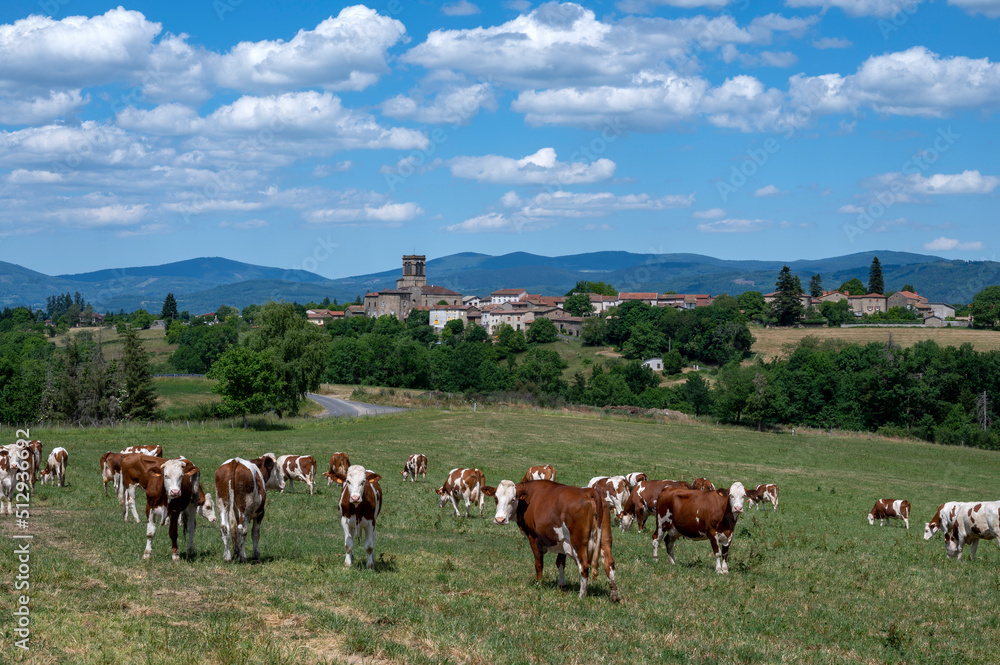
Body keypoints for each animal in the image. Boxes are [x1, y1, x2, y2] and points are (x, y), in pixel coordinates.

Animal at [488, 478, 620, 600]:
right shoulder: (563, 540)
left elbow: (539, 563)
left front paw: (539, 584)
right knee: (609, 564)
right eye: (496, 498)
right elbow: (560, 562)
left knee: (584, 567)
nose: (499, 520)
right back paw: (614, 596)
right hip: (605, 540)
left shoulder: (533, 537)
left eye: (512, 499)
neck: (530, 497)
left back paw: (581, 595)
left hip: (578, 543)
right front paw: (562, 585)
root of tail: (590, 492)